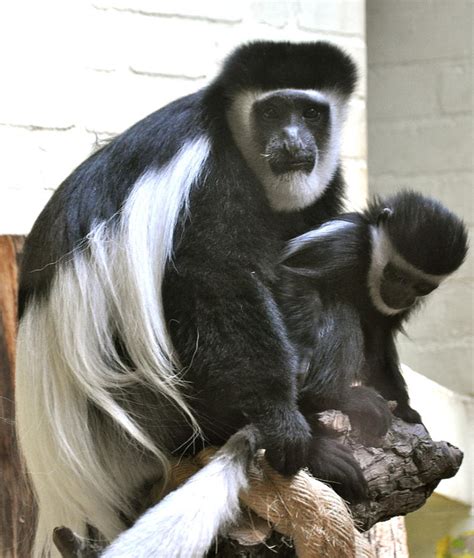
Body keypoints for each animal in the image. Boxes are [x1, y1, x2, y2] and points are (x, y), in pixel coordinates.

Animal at [280, 192, 468, 442]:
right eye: (396, 275)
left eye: (421, 287)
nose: (403, 296)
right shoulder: (342, 246)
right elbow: (298, 280)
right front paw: (301, 357)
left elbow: (379, 343)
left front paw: (405, 410)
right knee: (339, 308)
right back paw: (332, 397)